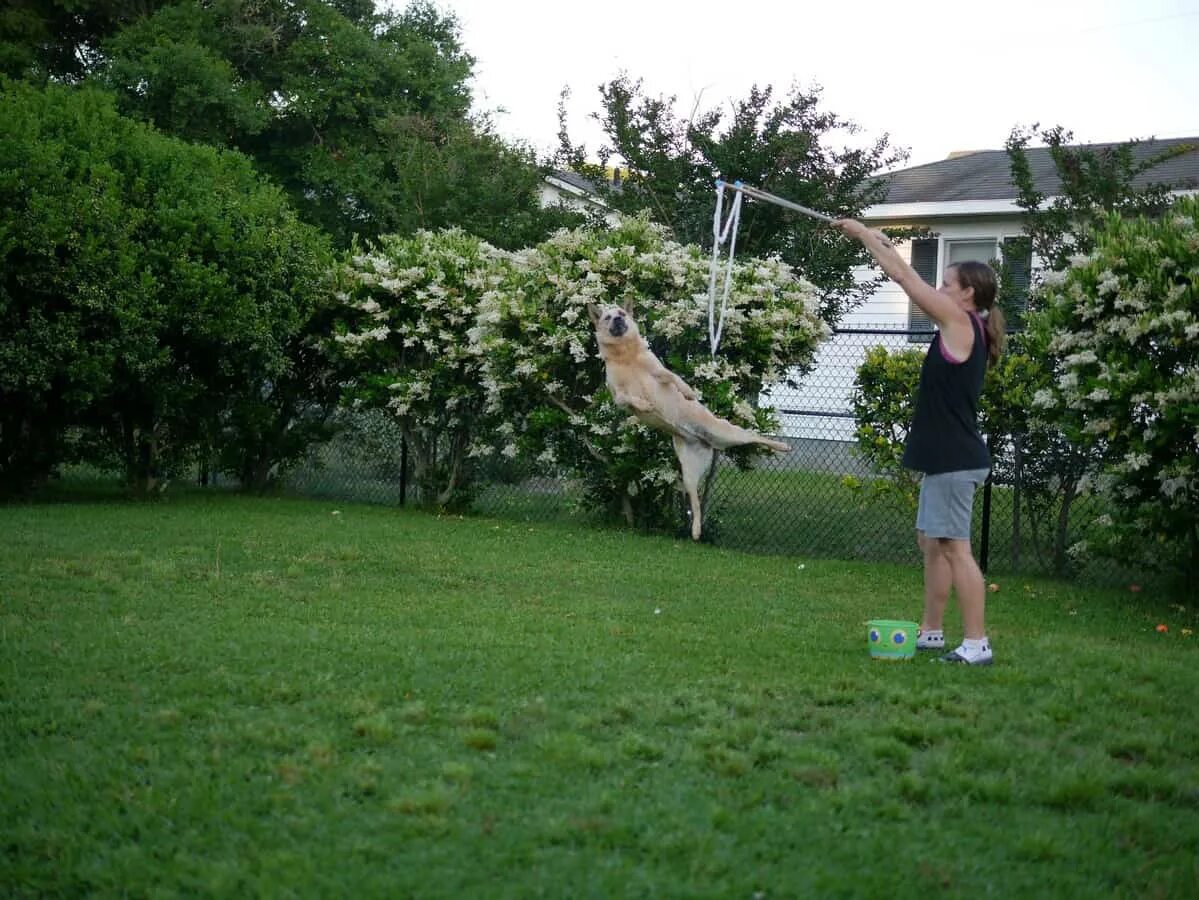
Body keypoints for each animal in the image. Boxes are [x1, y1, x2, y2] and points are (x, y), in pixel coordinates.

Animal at [587, 303, 791, 541]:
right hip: (688, 474)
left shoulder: (658, 371)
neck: (625, 355)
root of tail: (705, 441)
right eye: (608, 317)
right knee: (695, 501)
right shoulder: (617, 396)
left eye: (621, 313)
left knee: (753, 436)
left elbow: (672, 376)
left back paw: (782, 446)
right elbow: (628, 398)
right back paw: (696, 529)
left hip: (726, 432)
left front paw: (687, 392)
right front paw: (644, 406)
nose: (618, 320)